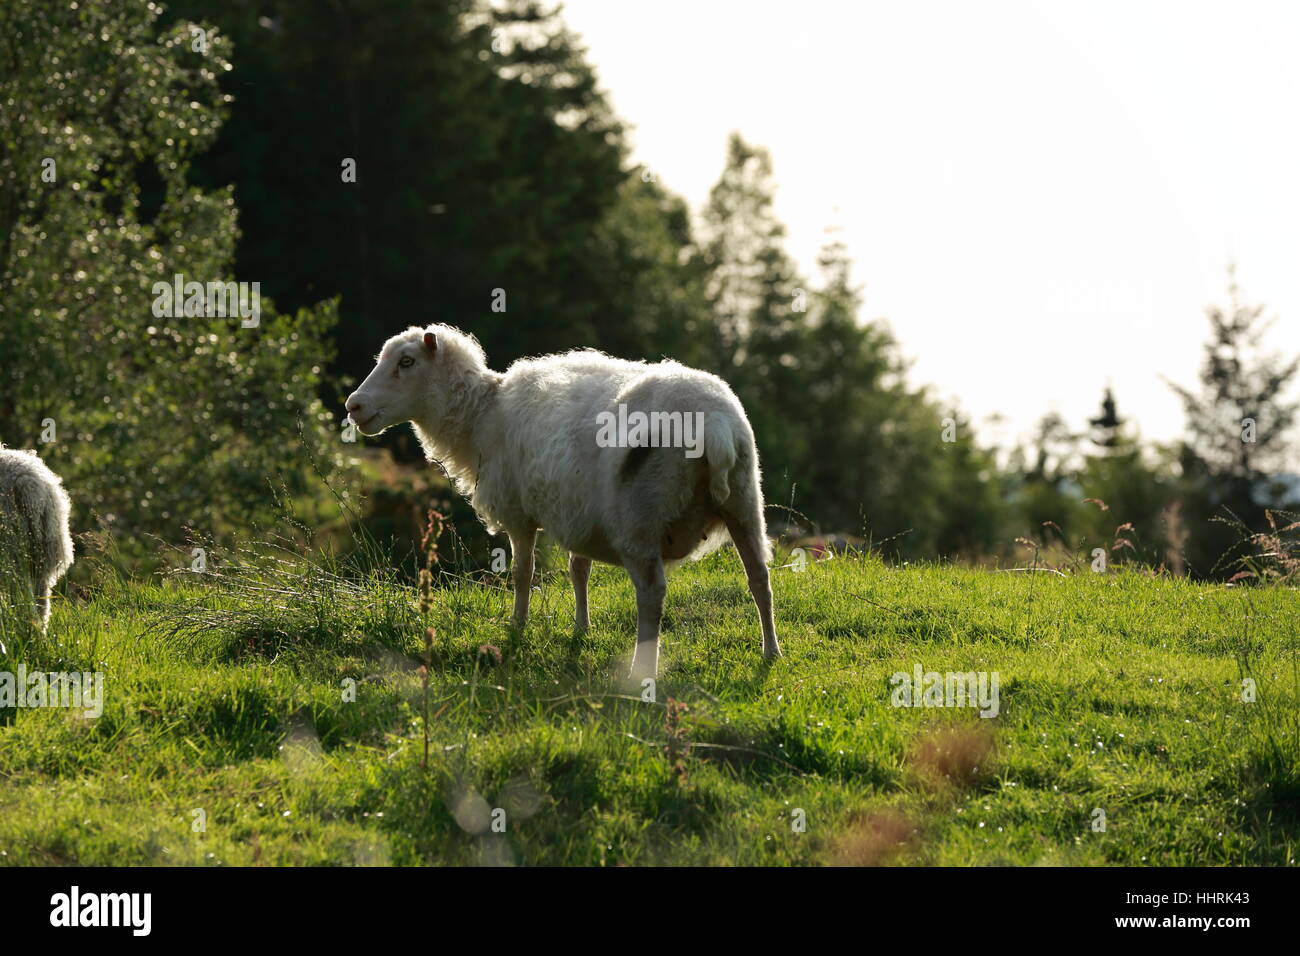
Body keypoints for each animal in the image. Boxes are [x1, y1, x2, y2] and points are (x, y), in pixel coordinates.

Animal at [345, 325, 782, 681]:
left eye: (406, 362)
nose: (353, 406)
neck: (481, 415)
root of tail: (715, 425)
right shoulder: (578, 513)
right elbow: (578, 570)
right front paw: (580, 628)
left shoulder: (519, 515)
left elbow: (522, 572)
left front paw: (516, 626)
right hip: (745, 502)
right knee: (759, 578)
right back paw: (771, 653)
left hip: (639, 517)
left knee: (652, 593)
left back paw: (642, 669)